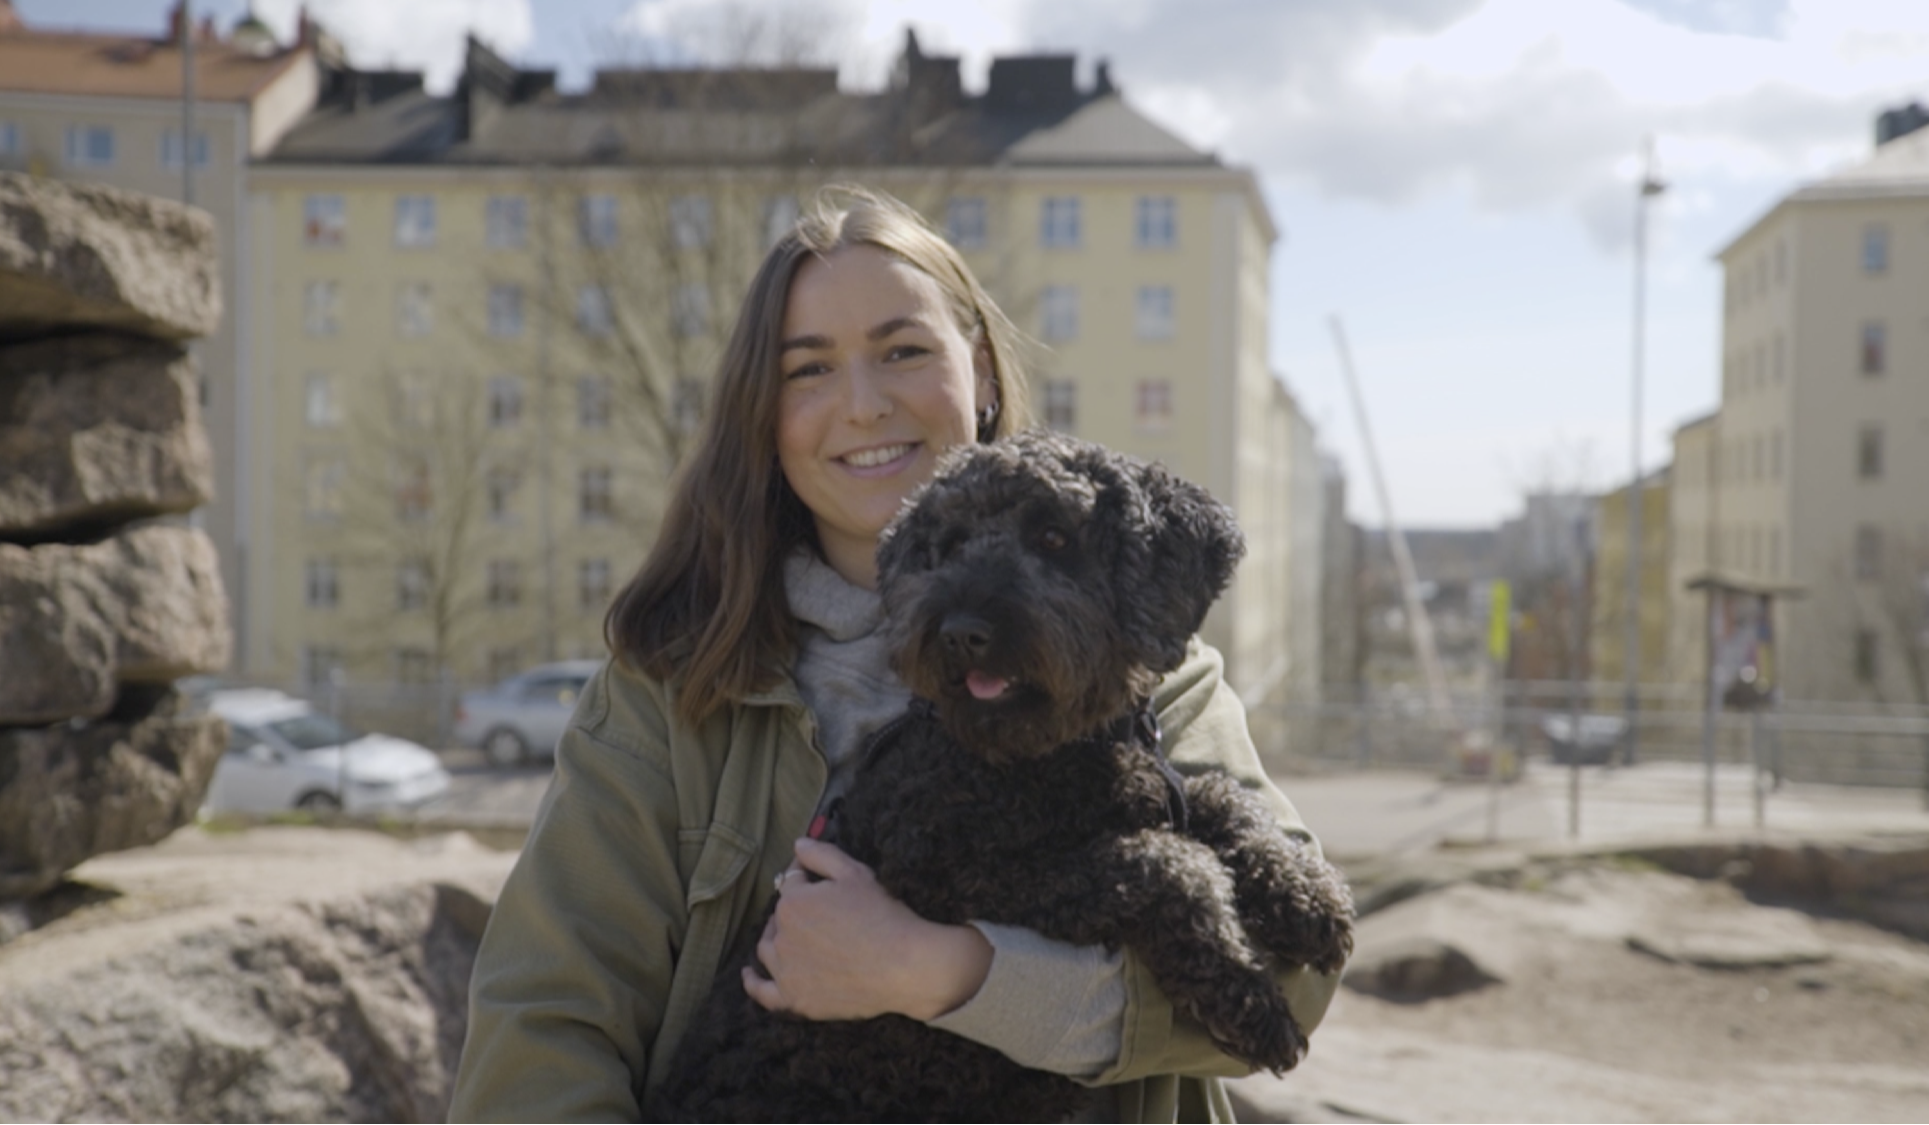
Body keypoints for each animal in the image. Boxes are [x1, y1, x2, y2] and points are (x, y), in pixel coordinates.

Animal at [652, 434, 1358, 1125]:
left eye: (1053, 536)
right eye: (951, 543)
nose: (961, 633)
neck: (1048, 753)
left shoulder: (1156, 788)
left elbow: (1220, 796)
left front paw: (1304, 891)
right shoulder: (963, 877)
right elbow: (1166, 865)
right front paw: (1250, 997)